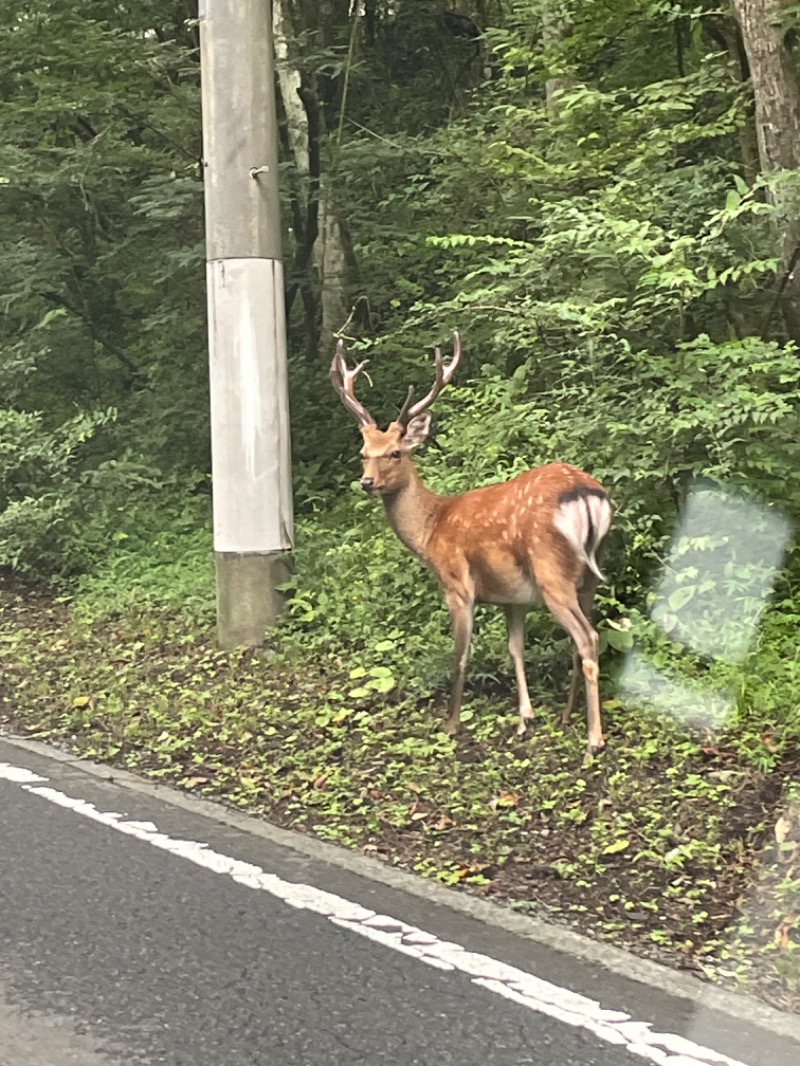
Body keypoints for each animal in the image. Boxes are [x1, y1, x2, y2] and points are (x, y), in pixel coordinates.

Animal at [332, 328, 614, 754]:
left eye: (395, 453)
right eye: (364, 453)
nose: (367, 481)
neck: (431, 527)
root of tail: (585, 494)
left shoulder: (457, 583)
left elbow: (461, 653)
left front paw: (451, 724)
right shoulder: (512, 597)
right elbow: (515, 649)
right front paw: (525, 718)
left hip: (551, 571)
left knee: (588, 638)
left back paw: (594, 738)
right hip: (589, 575)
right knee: (581, 639)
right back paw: (568, 717)